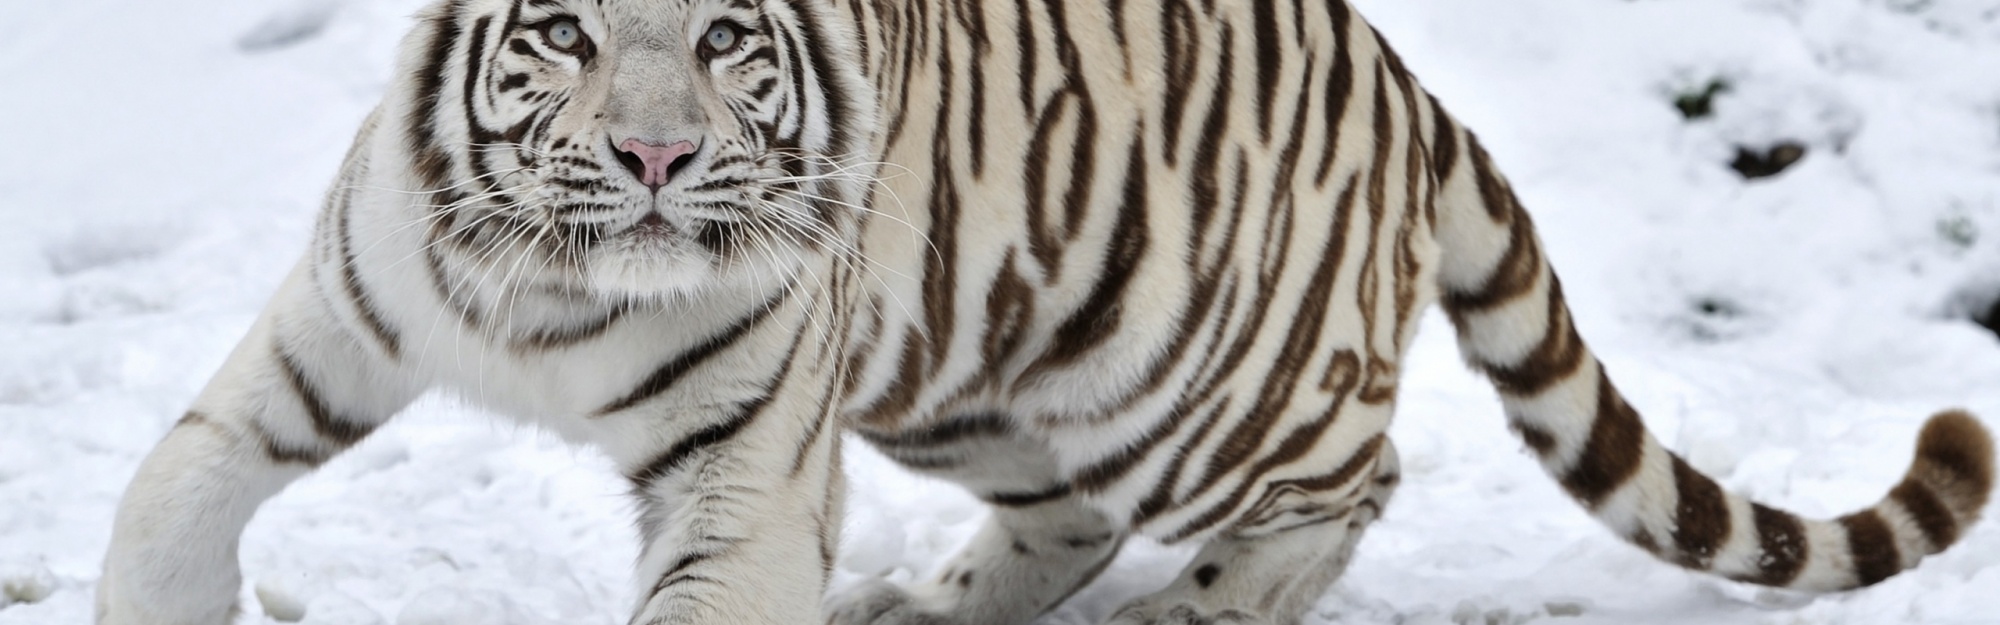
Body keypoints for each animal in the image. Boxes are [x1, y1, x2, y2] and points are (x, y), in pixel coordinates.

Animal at [101, 1, 1992, 625]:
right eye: (561, 31)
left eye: (724, 38)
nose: (653, 154)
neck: (561, 290)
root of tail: (1406, 83)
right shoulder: (335, 327)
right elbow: (170, 485)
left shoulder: (743, 475)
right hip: (982, 376)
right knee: (1064, 518)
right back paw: (922, 609)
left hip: (1202, 386)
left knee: (1352, 482)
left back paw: (1192, 616)